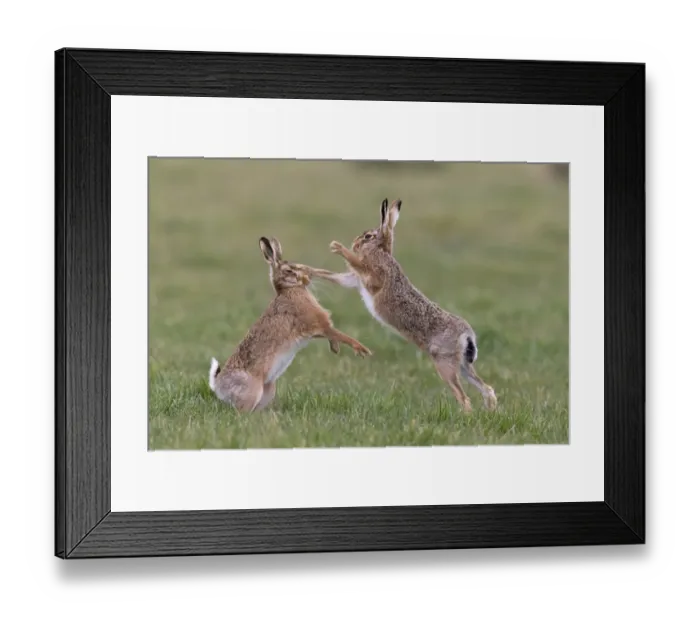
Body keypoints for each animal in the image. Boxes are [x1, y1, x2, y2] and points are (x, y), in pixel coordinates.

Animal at [209, 236, 372, 412]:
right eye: (289, 270)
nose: (307, 277)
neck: (289, 289)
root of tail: (218, 387)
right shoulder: (317, 323)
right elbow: (340, 335)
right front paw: (363, 350)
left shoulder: (315, 330)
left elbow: (332, 335)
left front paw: (335, 349)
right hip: (252, 390)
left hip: (268, 390)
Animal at [308, 199, 497, 413]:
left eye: (368, 236)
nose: (354, 243)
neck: (381, 251)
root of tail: (467, 335)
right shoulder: (356, 280)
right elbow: (335, 276)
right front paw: (306, 270)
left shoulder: (374, 275)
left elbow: (358, 265)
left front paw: (338, 247)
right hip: (463, 364)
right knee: (486, 388)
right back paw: (490, 411)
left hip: (444, 362)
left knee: (464, 397)